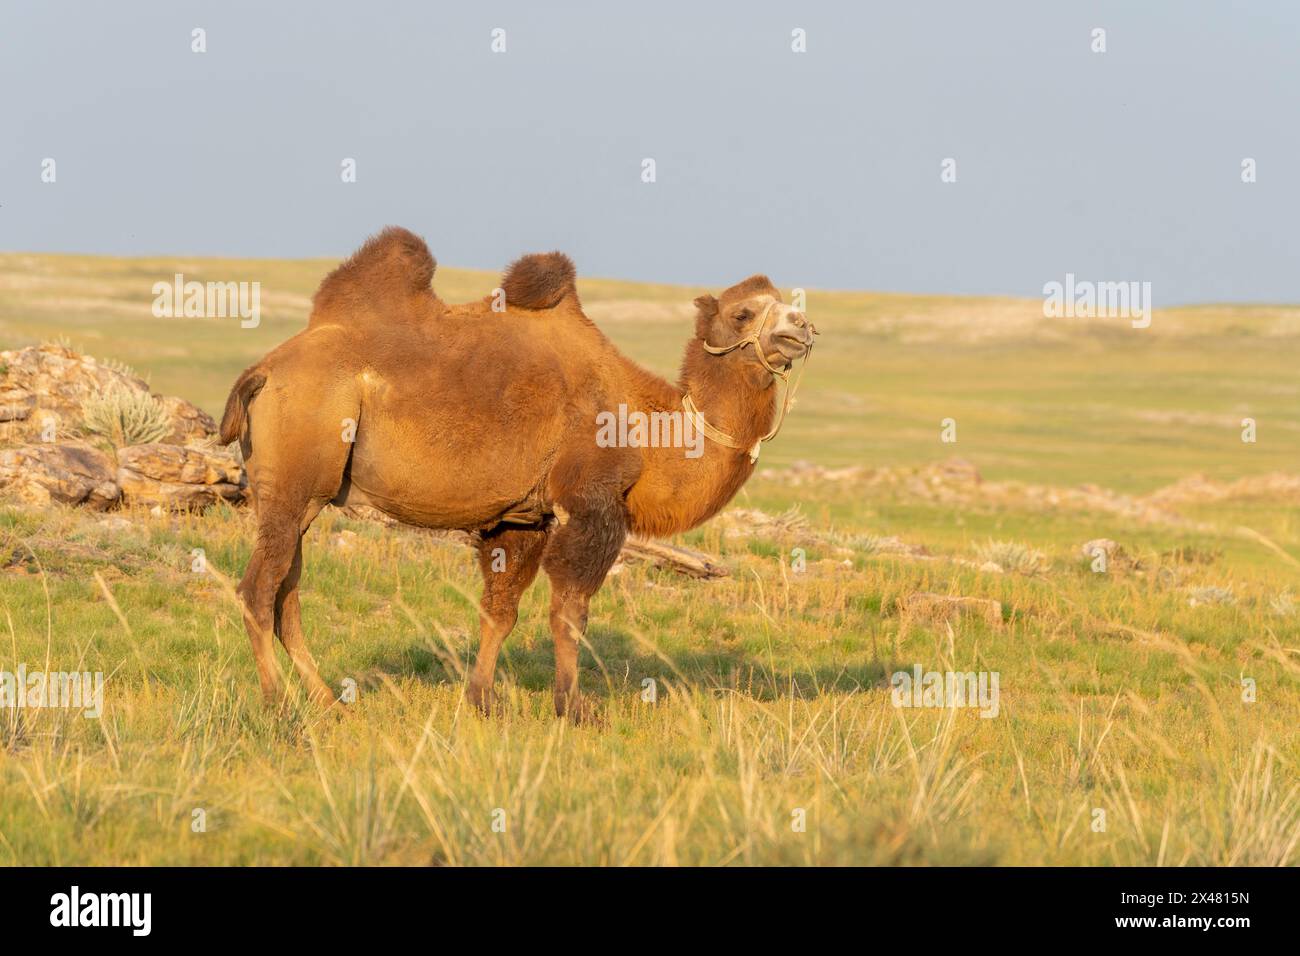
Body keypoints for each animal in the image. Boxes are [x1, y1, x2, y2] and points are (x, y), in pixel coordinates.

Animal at [220, 227, 811, 723]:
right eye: (743, 313)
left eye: (786, 303)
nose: (801, 327)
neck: (647, 426)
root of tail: (262, 371)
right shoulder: (592, 501)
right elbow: (570, 611)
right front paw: (573, 708)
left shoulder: (524, 516)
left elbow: (499, 610)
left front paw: (482, 699)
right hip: (297, 474)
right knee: (258, 589)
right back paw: (279, 705)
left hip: (300, 495)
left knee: (287, 591)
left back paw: (326, 700)